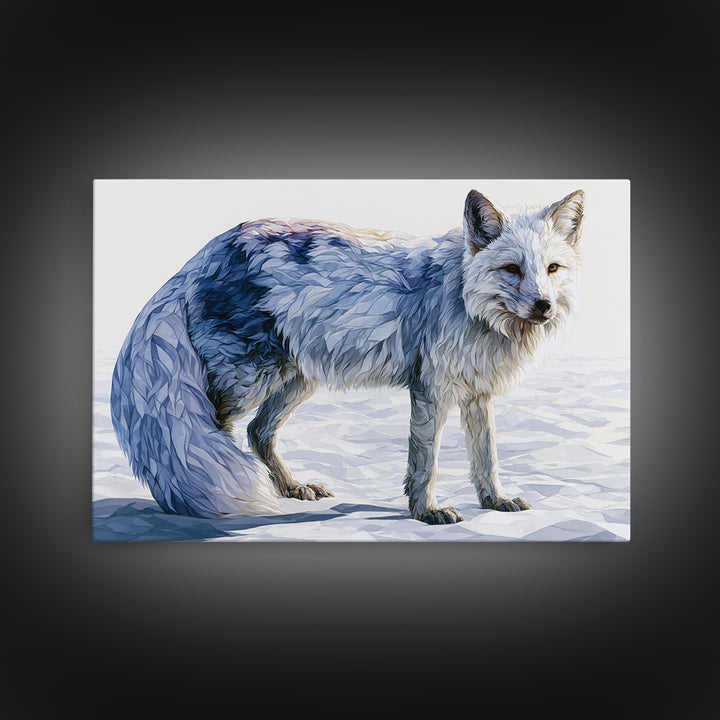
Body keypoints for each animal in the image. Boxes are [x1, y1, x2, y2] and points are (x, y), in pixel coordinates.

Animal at [111, 188, 584, 524]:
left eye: (552, 269)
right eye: (512, 269)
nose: (543, 305)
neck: (467, 301)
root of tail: (206, 252)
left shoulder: (477, 394)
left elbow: (486, 458)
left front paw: (494, 501)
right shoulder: (429, 391)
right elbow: (425, 463)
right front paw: (426, 512)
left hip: (296, 380)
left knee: (258, 433)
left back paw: (289, 487)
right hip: (246, 379)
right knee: (214, 431)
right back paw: (207, 497)